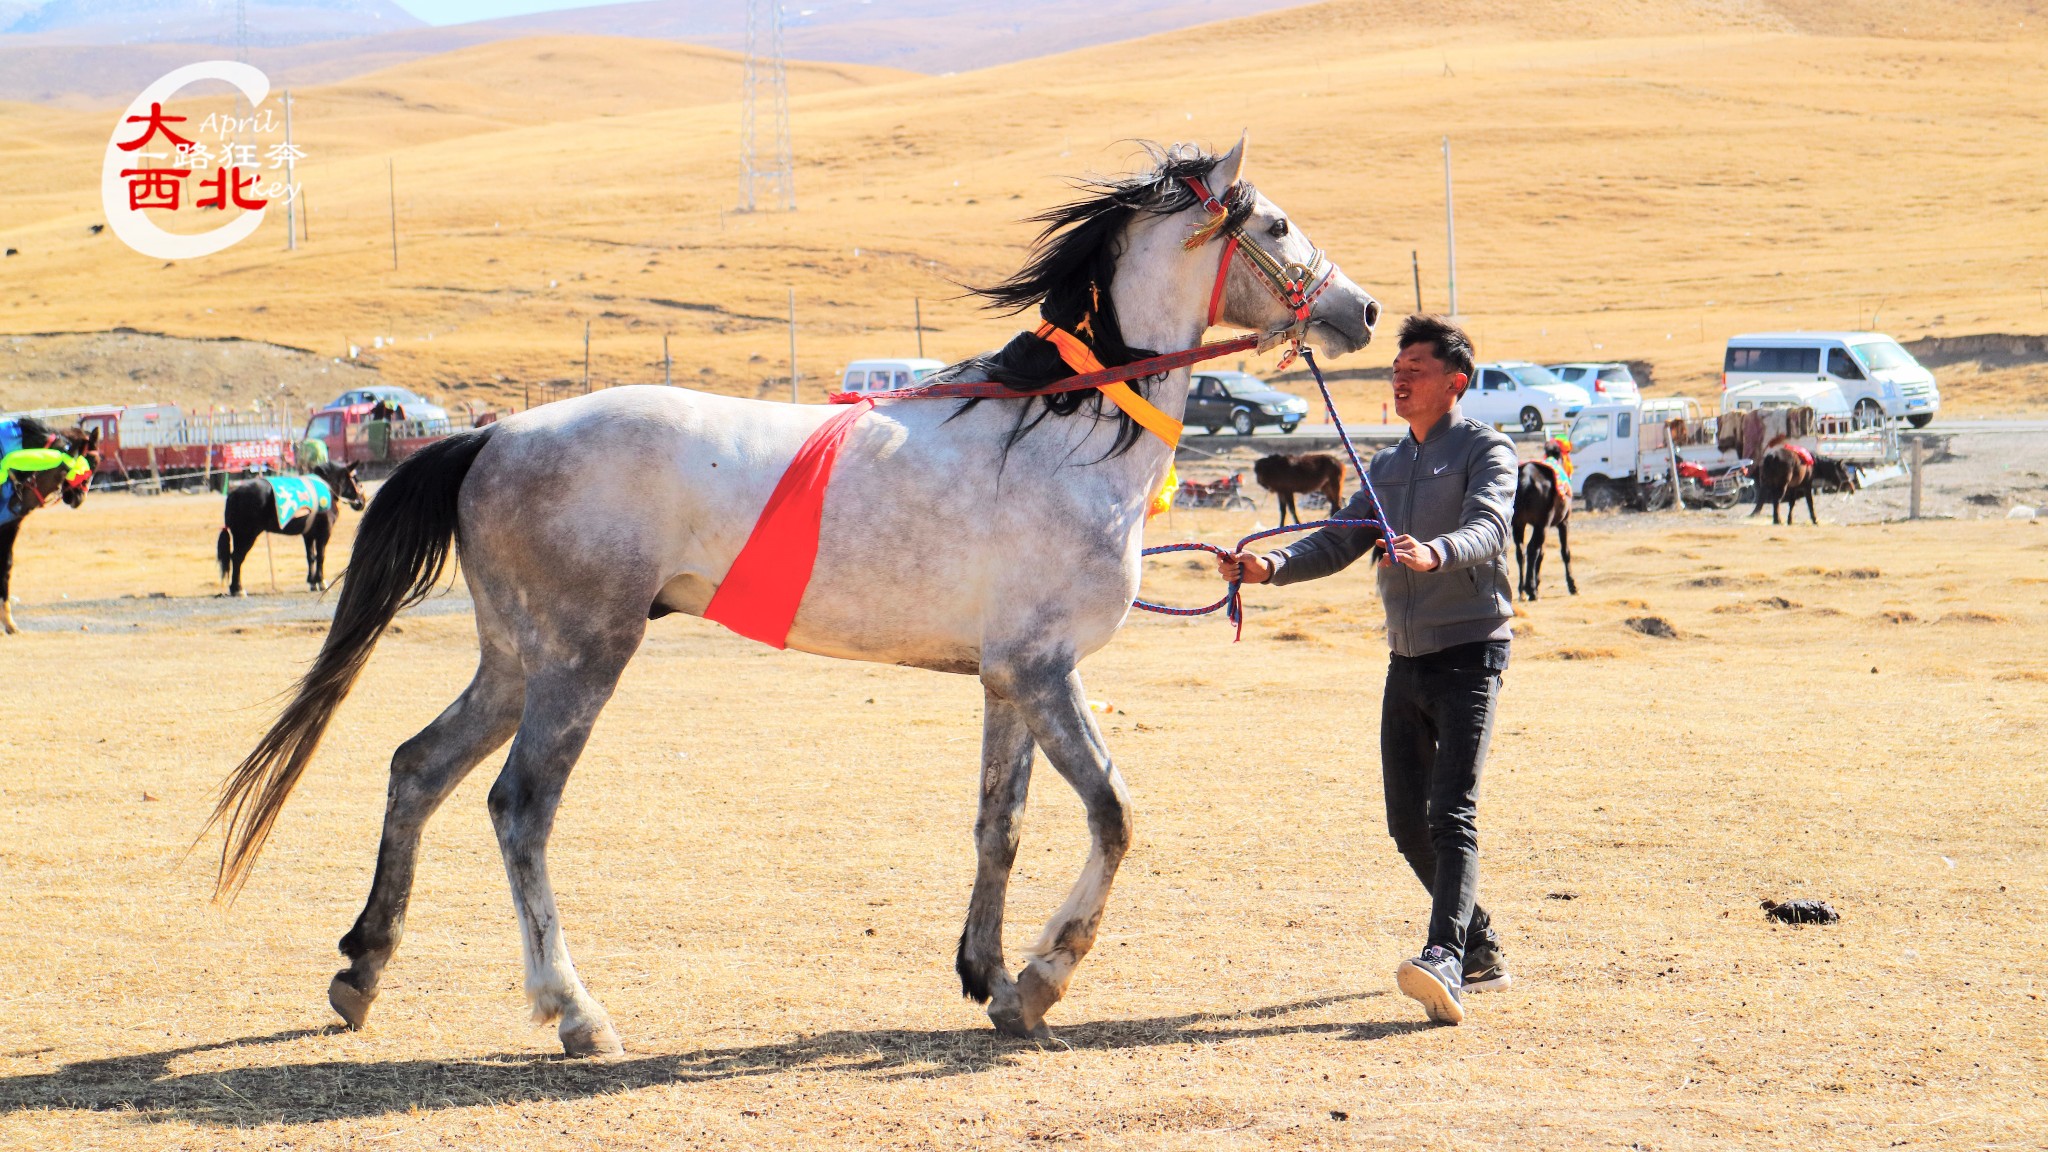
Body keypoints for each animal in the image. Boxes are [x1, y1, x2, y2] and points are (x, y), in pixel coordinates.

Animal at [218, 461, 366, 594]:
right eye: (355, 478)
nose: (362, 502)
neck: (327, 487)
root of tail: (233, 494)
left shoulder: (308, 534)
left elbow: (310, 557)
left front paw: (312, 582)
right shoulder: (324, 533)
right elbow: (321, 556)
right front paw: (321, 581)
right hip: (246, 535)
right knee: (237, 558)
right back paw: (238, 588)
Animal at [1515, 440, 1572, 594]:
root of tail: (1526, 477)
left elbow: (1542, 554)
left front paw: (1538, 581)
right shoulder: (1563, 522)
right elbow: (1565, 552)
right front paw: (1572, 585)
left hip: (1518, 523)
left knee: (1521, 551)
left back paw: (1522, 590)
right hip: (1542, 524)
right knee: (1531, 549)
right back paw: (1530, 588)